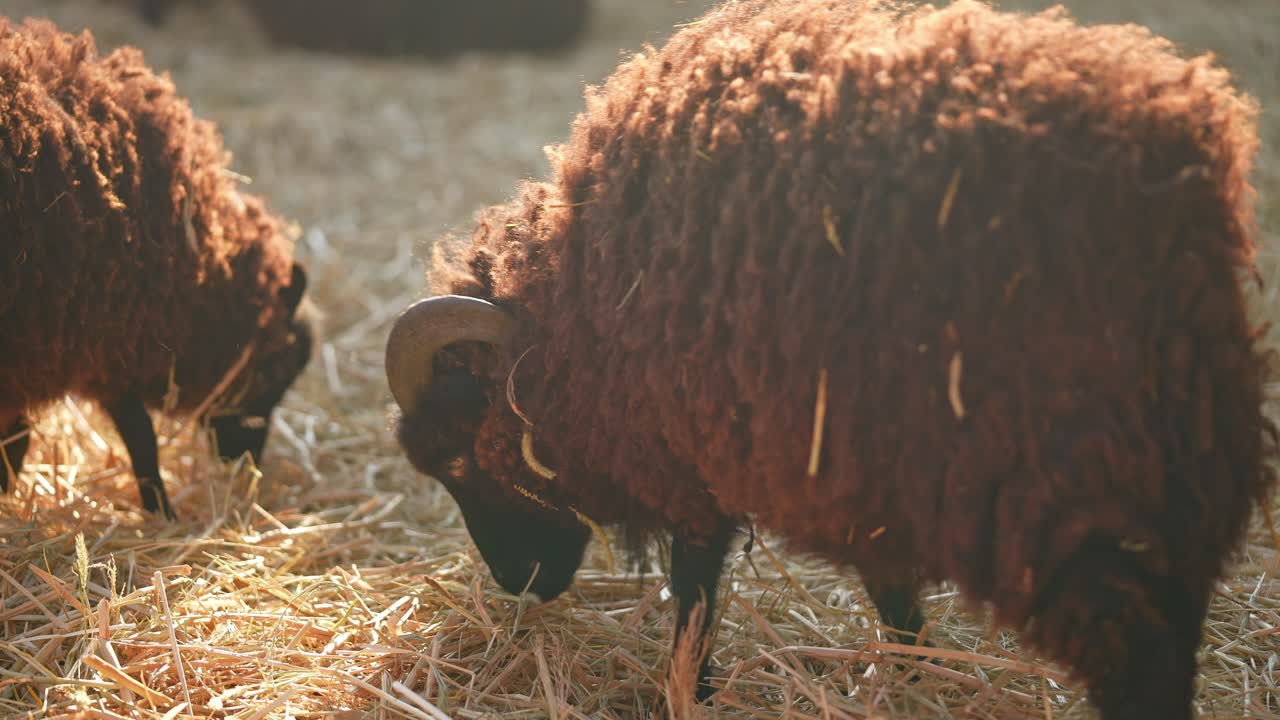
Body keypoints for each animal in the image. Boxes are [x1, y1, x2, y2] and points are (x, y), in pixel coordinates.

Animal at [385, 0, 1275, 717]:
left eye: (460, 460)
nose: (520, 587)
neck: (585, 311)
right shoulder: (864, 475)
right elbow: (890, 591)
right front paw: (912, 673)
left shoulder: (705, 445)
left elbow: (697, 587)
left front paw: (693, 689)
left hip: (1081, 495)